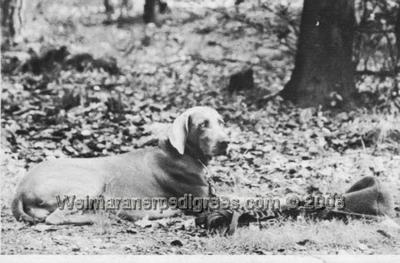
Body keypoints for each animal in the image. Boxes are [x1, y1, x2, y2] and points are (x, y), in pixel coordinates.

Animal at [12, 106, 230, 226]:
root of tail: (20, 190)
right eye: (203, 124)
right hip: (91, 183)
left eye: (221, 122)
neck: (184, 154)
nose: (226, 142)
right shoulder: (201, 201)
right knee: (55, 218)